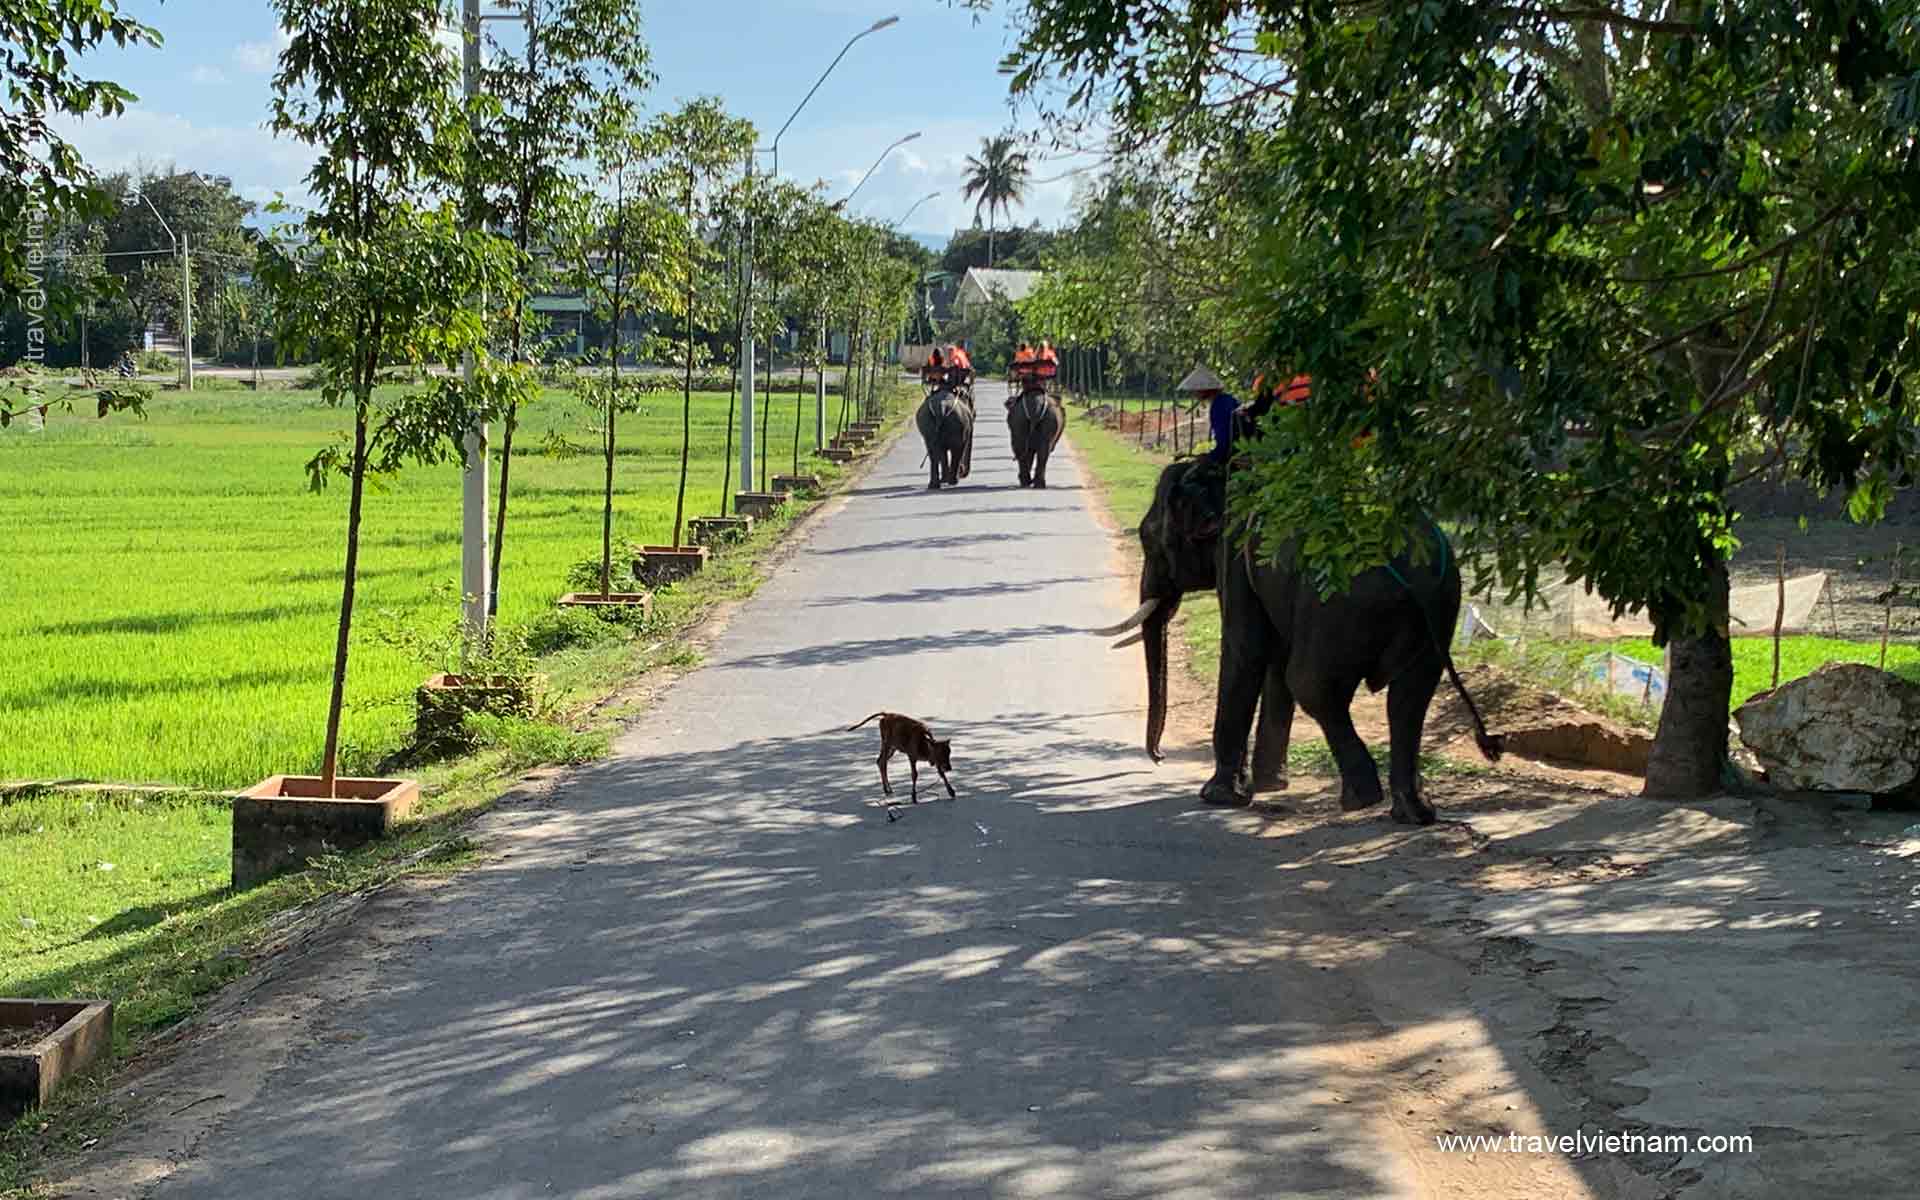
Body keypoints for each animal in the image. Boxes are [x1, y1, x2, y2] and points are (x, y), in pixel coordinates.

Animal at [1098, 458, 1497, 821]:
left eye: (1149, 538)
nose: (1159, 757)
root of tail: (1411, 565)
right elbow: (1274, 659)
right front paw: (1269, 784)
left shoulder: (1235, 561)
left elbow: (1246, 652)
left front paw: (1219, 796)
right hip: (1438, 607)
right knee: (1409, 698)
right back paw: (1413, 812)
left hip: (1338, 604)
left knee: (1312, 684)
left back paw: (1361, 799)